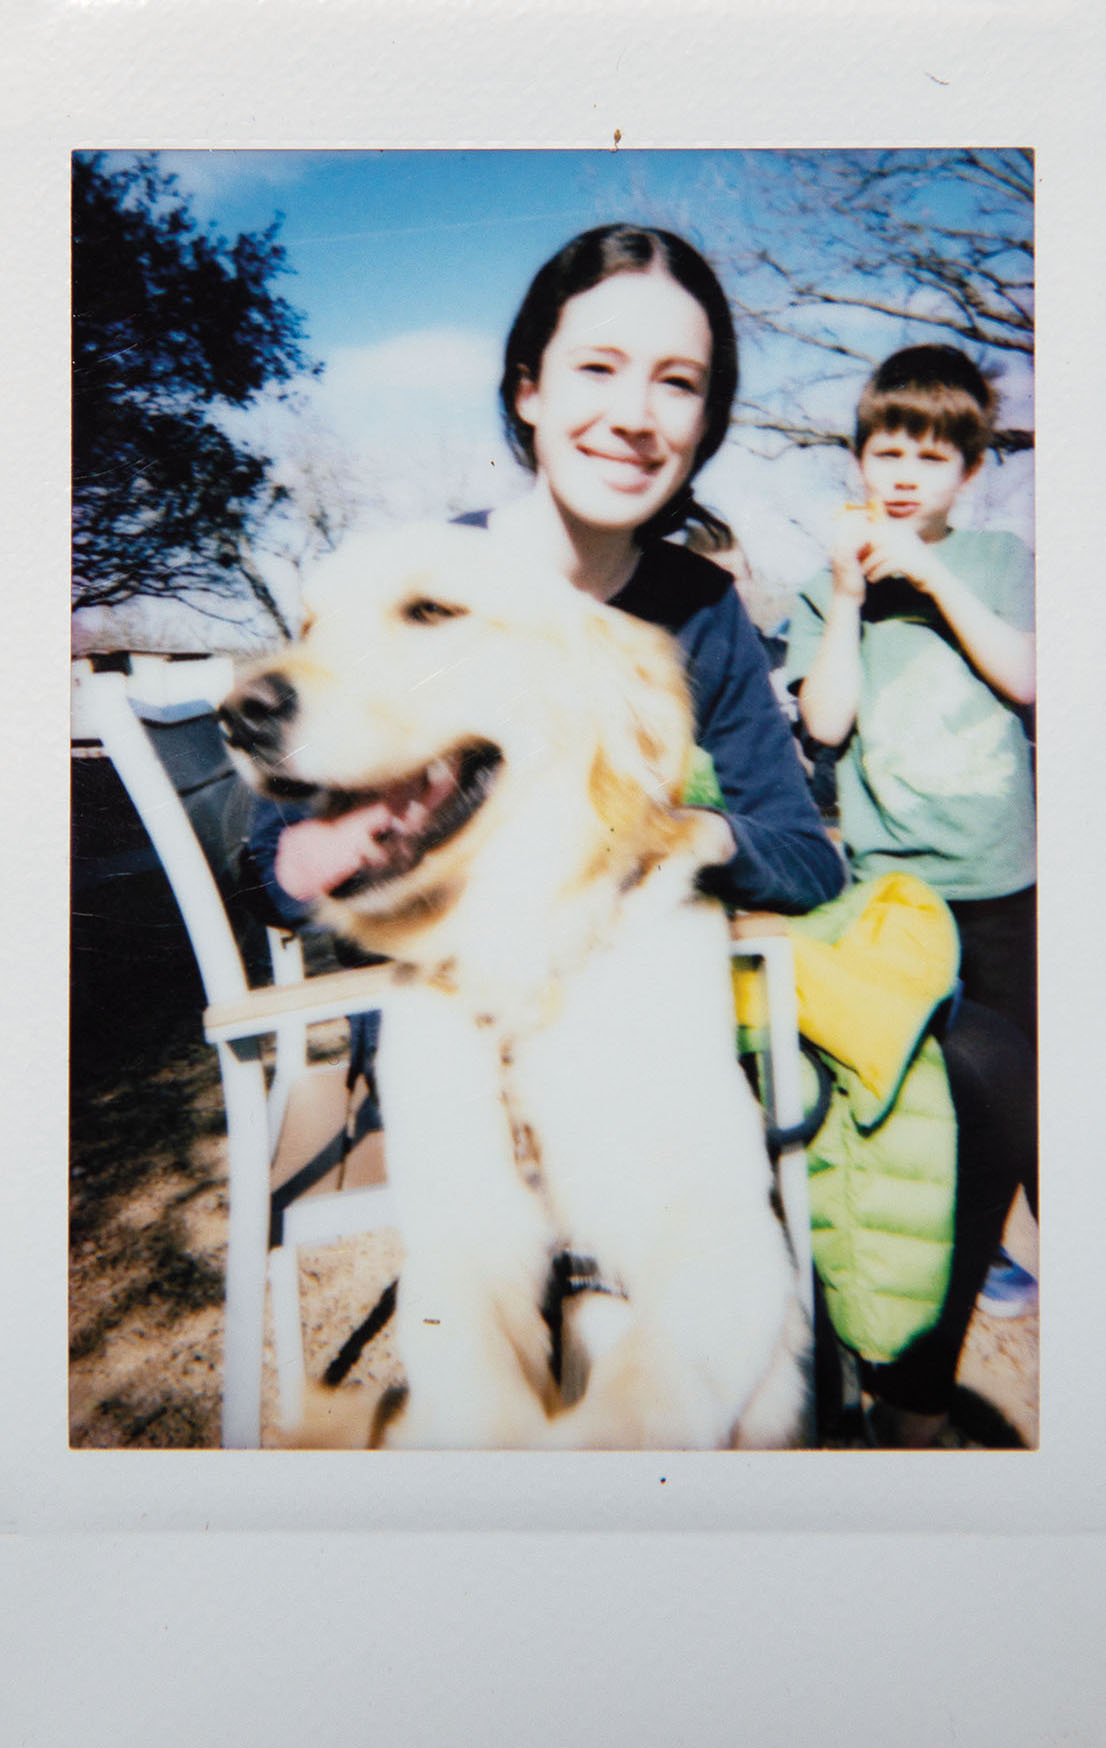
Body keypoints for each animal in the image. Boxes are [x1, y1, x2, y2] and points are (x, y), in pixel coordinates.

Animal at [221, 524, 810, 1454]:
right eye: (307, 625)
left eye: (432, 611)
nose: (239, 712)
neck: (520, 961)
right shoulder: (460, 1245)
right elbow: (476, 1398)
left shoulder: (731, 1239)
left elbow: (639, 1404)